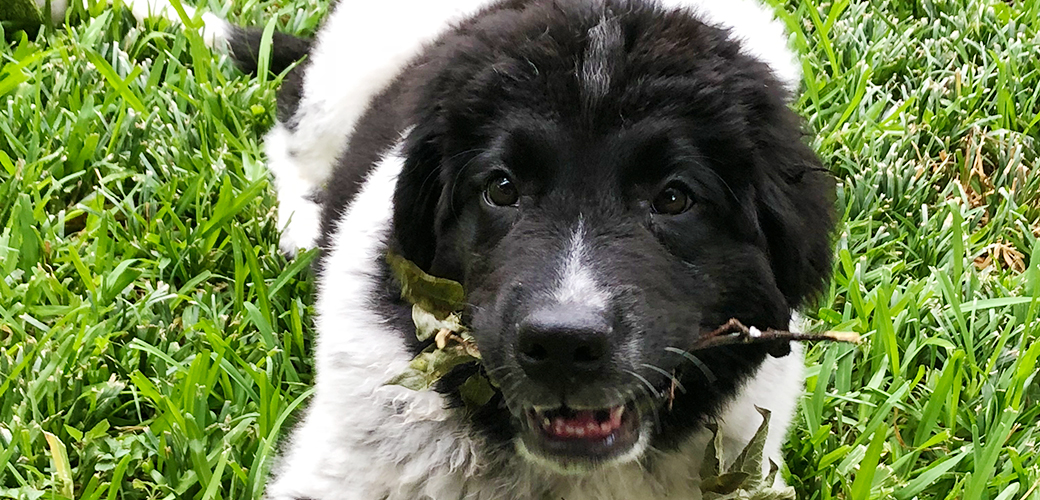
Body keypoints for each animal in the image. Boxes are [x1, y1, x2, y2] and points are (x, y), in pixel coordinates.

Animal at [138, 0, 836, 496]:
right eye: (501, 189)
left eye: (673, 198)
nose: (563, 344)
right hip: (342, 78)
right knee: (289, 123)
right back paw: (302, 222)